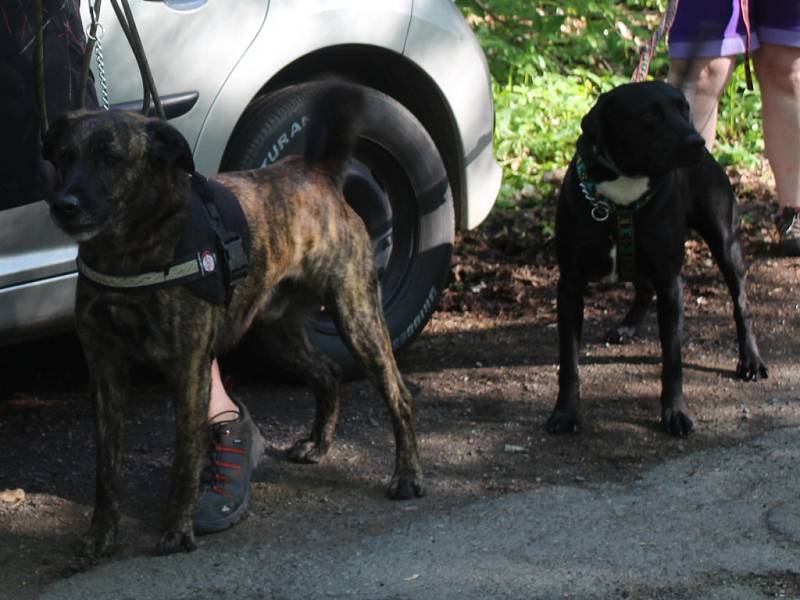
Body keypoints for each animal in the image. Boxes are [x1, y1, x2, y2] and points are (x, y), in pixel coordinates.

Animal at [42, 83, 424, 556]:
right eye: (64, 156)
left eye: (110, 157)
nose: (63, 205)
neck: (128, 250)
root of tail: (315, 171)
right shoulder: (105, 368)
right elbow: (105, 468)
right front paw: (101, 534)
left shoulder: (188, 368)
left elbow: (185, 457)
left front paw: (177, 529)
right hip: (277, 335)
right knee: (329, 372)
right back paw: (318, 443)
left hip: (357, 317)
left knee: (399, 395)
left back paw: (407, 475)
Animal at [548, 81, 764, 436]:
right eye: (649, 115)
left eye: (684, 108)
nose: (695, 141)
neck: (623, 195)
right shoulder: (570, 286)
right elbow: (568, 362)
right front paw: (565, 413)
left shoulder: (670, 283)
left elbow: (672, 361)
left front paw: (675, 413)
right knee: (642, 286)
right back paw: (627, 326)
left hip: (726, 243)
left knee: (741, 303)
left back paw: (751, 361)